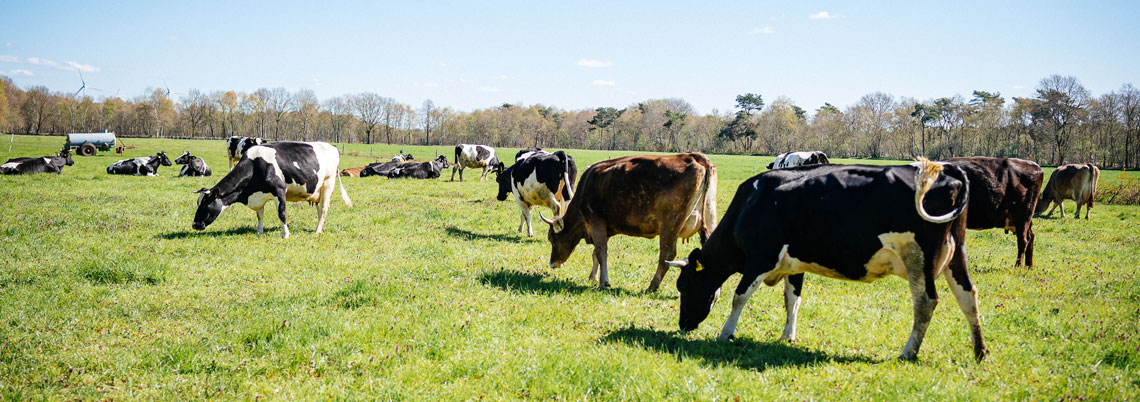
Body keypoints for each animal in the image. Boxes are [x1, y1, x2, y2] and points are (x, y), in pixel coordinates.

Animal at [191, 140, 351, 236]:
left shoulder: (279, 190)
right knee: (319, 209)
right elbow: (259, 215)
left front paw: (285, 234)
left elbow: (282, 213)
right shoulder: (258, 196)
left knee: (324, 208)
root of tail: (332, 146)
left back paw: (317, 231)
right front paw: (259, 231)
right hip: (317, 190)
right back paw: (320, 228)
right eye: (198, 204)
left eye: (205, 204)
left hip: (328, 183)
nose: (194, 225)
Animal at [538, 151, 715, 289]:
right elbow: (596, 253)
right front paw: (593, 277)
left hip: (670, 224)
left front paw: (603, 282)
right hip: (709, 221)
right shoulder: (606, 229)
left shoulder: (596, 222)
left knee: (667, 254)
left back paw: (652, 285)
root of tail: (693, 157)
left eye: (551, 238)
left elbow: (601, 252)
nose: (552, 263)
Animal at [665, 159, 989, 359]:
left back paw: (908, 352)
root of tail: (943, 169)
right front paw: (787, 336)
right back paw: (980, 351)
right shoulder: (794, 264)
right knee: (968, 296)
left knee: (926, 302)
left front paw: (726, 333)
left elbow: (739, 297)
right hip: (956, 256)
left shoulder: (760, 257)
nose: (683, 325)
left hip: (919, 258)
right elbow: (792, 299)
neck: (752, 201)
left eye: (685, 286)